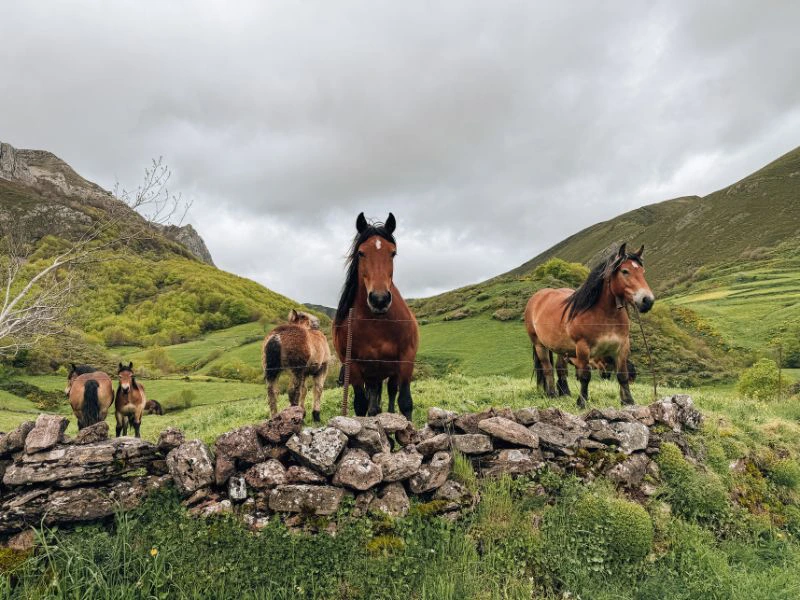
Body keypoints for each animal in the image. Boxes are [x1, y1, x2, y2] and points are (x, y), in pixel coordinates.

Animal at [332, 212, 419, 420]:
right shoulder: (354, 367)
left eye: (393, 253)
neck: (376, 323)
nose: (379, 299)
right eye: (361, 253)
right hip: (372, 374)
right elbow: (361, 405)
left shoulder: (406, 359)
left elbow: (405, 403)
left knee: (392, 392)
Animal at [524, 243, 654, 407]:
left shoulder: (622, 346)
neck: (605, 315)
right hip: (539, 345)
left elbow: (622, 375)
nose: (647, 301)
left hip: (560, 348)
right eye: (625, 271)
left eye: (642, 272)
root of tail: (537, 297)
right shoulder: (583, 348)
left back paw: (564, 393)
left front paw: (628, 401)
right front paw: (582, 402)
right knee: (547, 369)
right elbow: (585, 376)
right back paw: (552, 394)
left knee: (561, 369)